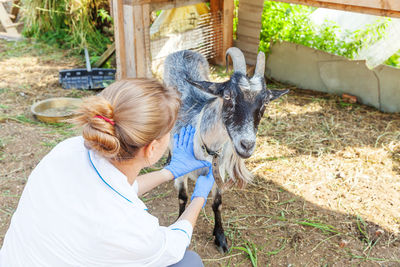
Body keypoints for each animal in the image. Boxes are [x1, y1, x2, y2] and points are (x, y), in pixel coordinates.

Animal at [164, 47, 290, 253]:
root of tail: (184, 50)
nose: (247, 145)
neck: (205, 146)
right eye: (228, 96)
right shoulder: (182, 175)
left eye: (266, 102)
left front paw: (220, 237)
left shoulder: (218, 172)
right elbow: (182, 197)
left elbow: (217, 203)